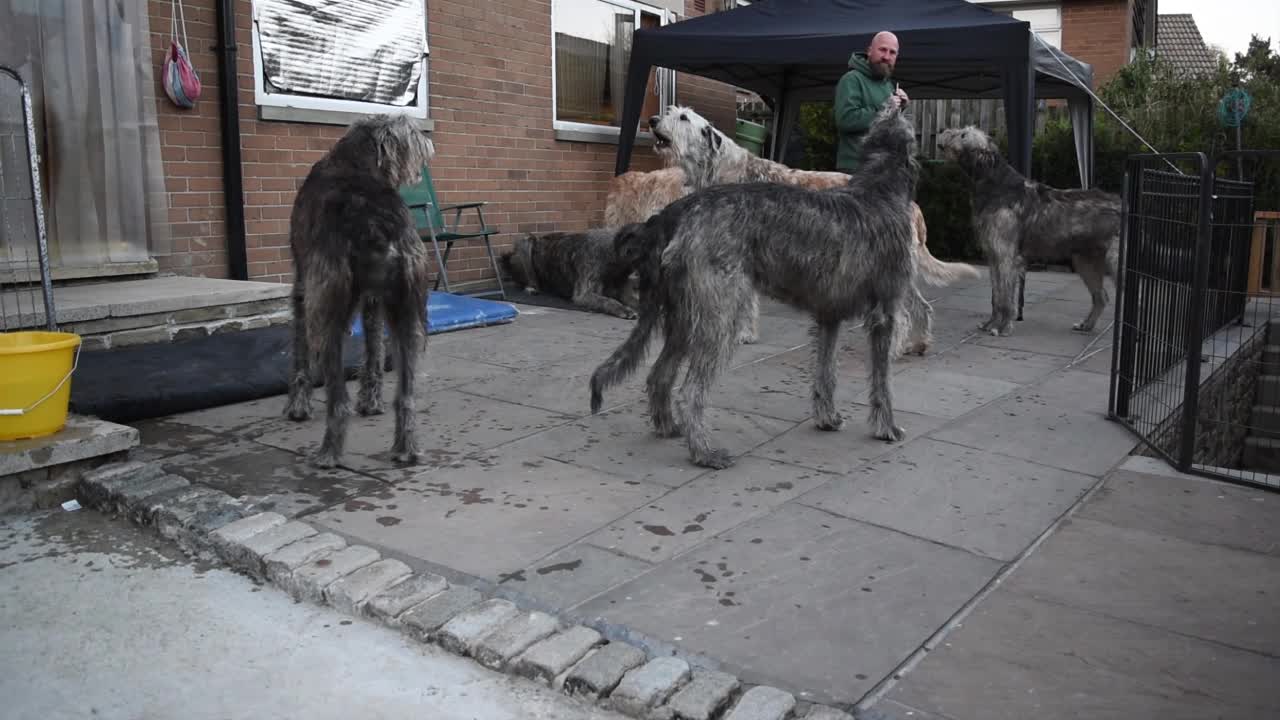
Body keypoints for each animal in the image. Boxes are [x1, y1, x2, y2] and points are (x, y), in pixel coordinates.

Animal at [282, 113, 437, 466]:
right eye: (410, 131)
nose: (428, 144)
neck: (353, 160)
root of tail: (376, 224)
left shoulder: (303, 288)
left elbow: (299, 352)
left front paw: (298, 406)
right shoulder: (375, 299)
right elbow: (374, 349)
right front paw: (371, 400)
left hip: (327, 311)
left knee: (338, 401)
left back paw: (328, 454)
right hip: (409, 312)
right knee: (406, 395)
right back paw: (406, 448)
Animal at [499, 225, 640, 317]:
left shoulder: (623, 290)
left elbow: (634, 300)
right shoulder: (584, 294)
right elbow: (608, 300)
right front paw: (624, 309)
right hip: (525, 241)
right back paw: (531, 288)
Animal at [588, 102, 921, 471]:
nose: (899, 102)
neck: (877, 189)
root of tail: (676, 213)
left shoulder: (828, 316)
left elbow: (826, 371)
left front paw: (827, 417)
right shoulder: (884, 314)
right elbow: (882, 380)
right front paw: (887, 427)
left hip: (686, 315)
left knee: (659, 375)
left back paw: (668, 427)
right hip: (719, 316)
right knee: (690, 391)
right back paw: (704, 452)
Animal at [650, 102, 977, 348]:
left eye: (683, 117)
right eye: (671, 110)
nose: (653, 119)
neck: (721, 167)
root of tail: (912, 205)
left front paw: (743, 334)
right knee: (922, 305)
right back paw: (918, 343)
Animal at [931, 124, 1121, 335]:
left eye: (963, 135)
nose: (942, 130)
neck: (995, 184)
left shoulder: (1006, 256)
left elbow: (1005, 298)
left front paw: (1001, 327)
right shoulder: (993, 256)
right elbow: (996, 296)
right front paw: (991, 323)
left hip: (1115, 260)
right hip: (1085, 261)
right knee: (1101, 296)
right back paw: (1086, 325)